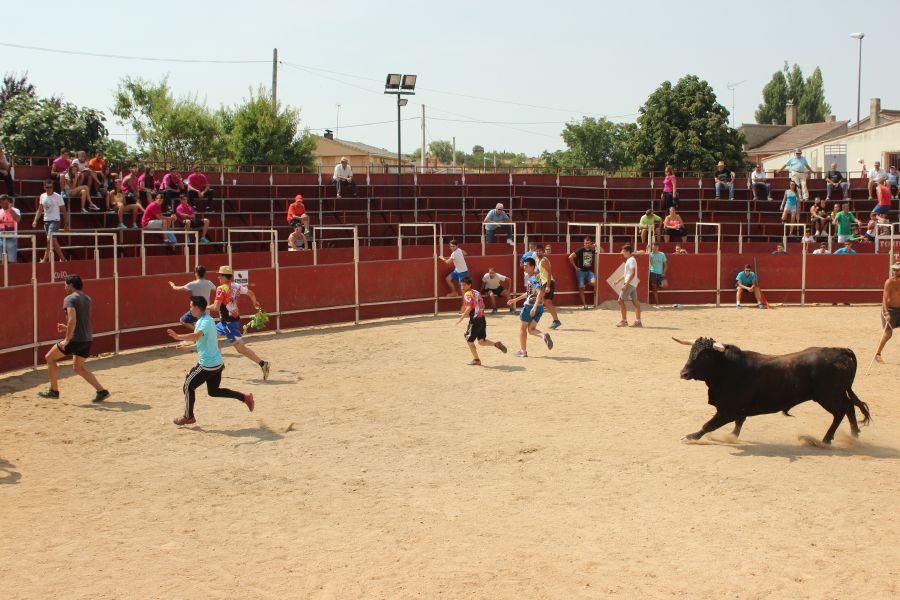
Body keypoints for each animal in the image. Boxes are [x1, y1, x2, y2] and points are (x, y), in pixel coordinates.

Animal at [676, 338, 872, 446]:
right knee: (850, 407)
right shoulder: (739, 410)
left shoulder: (728, 410)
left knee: (842, 411)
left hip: (827, 396)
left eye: (704, 356)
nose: (683, 373)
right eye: (691, 351)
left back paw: (826, 440)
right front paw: (730, 437)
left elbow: (708, 424)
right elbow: (738, 425)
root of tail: (841, 351)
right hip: (836, 394)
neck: (727, 369)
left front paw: (690, 437)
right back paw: (854, 436)